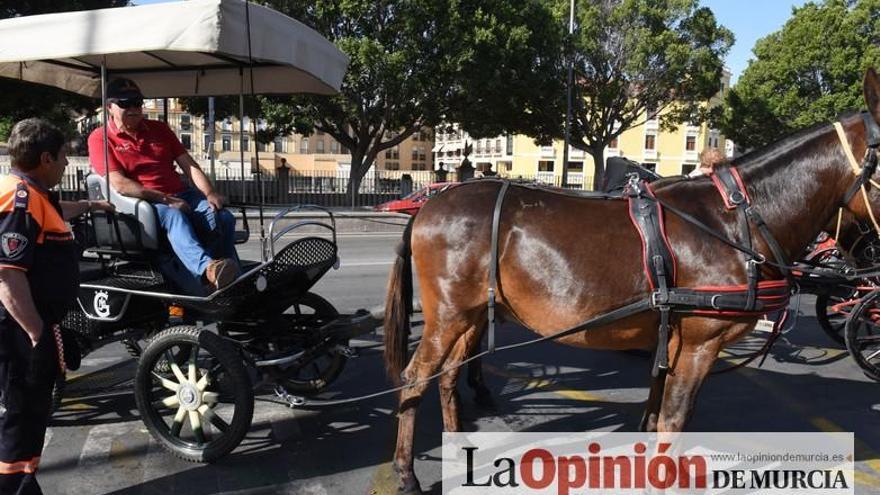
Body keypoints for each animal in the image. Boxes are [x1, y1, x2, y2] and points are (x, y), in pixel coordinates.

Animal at [384, 70, 880, 495]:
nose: (870, 264)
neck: (732, 221)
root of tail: (430, 205)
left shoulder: (672, 339)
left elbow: (656, 414)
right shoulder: (699, 343)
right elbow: (674, 421)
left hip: (467, 316)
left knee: (447, 377)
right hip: (448, 316)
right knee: (414, 379)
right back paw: (405, 472)